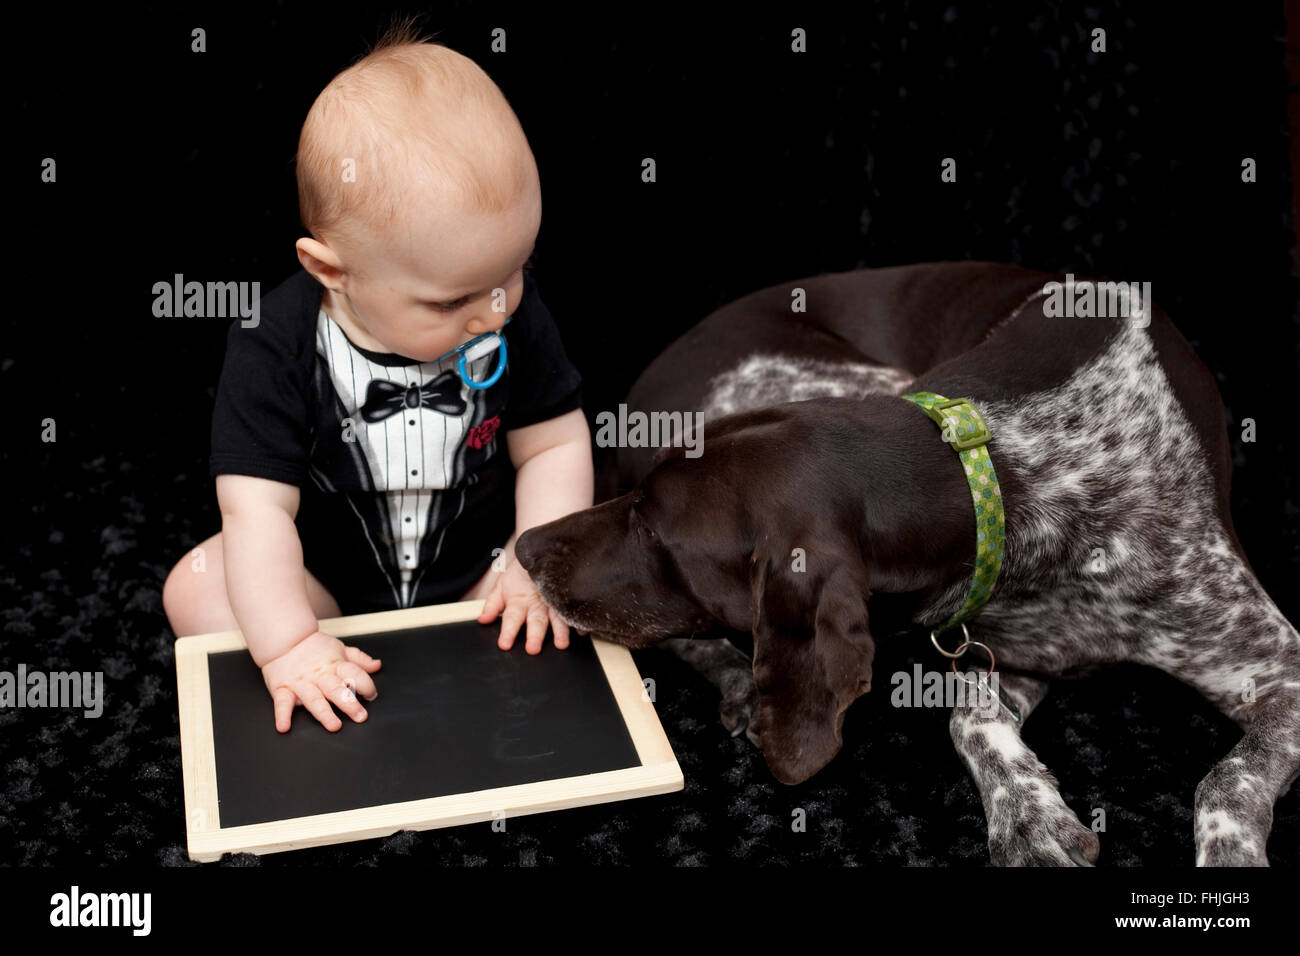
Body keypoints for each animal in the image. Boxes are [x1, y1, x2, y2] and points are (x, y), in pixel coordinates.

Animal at [512, 261, 1294, 868]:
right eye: (639, 505)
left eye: (651, 527)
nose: (523, 548)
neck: (1006, 475)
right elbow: (967, 717)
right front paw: (1028, 813)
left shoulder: (1277, 662)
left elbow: (1227, 780)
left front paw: (1228, 853)